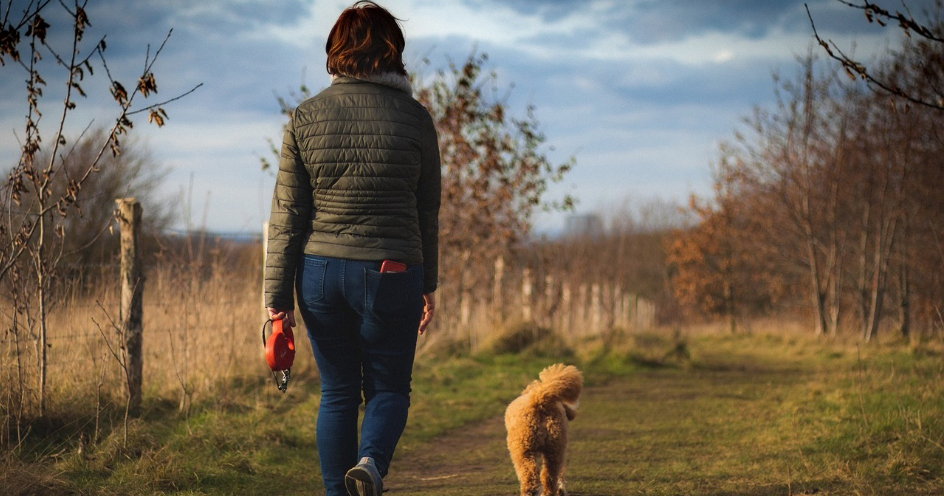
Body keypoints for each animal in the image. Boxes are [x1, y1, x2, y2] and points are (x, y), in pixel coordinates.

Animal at [506, 360, 580, 496]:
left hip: (522, 450)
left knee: (529, 476)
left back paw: (529, 492)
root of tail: (539, 400)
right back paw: (549, 492)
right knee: (549, 476)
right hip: (555, 448)